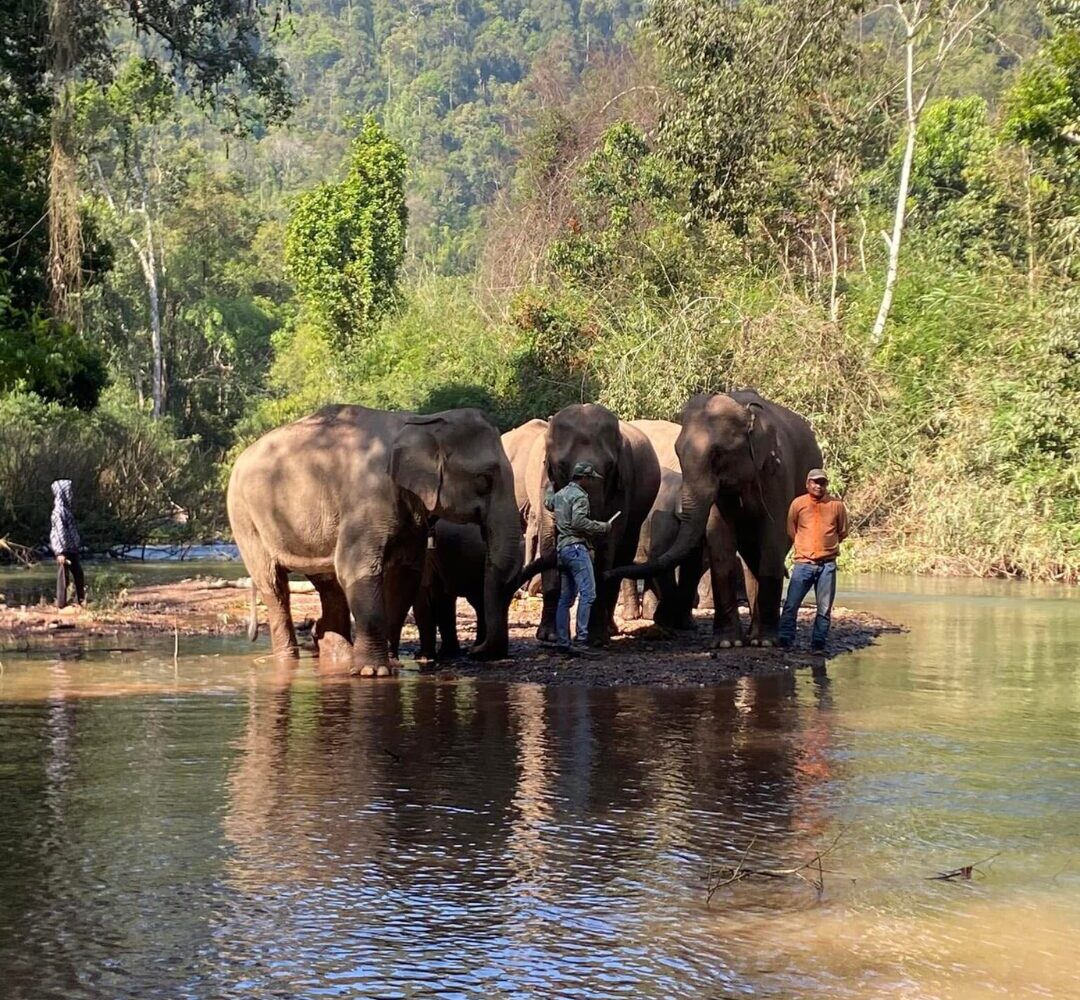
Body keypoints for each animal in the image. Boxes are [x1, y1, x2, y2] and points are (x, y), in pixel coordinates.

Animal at [227, 406, 522, 673]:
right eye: (484, 479)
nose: (476, 650)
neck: (419, 422)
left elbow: (405, 575)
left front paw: (390, 664)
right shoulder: (367, 497)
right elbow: (358, 569)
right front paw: (373, 671)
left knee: (328, 583)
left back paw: (337, 656)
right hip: (245, 518)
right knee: (274, 584)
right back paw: (288, 662)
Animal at [531, 403, 656, 647]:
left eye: (609, 465)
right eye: (561, 465)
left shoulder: (622, 485)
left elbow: (607, 545)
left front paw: (596, 639)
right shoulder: (544, 483)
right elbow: (549, 540)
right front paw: (548, 636)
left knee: (622, 555)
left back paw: (608, 631)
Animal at [613, 390, 820, 647]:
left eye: (718, 454)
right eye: (678, 452)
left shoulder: (778, 473)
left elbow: (772, 538)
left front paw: (765, 642)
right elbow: (719, 541)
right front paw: (726, 643)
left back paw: (755, 636)